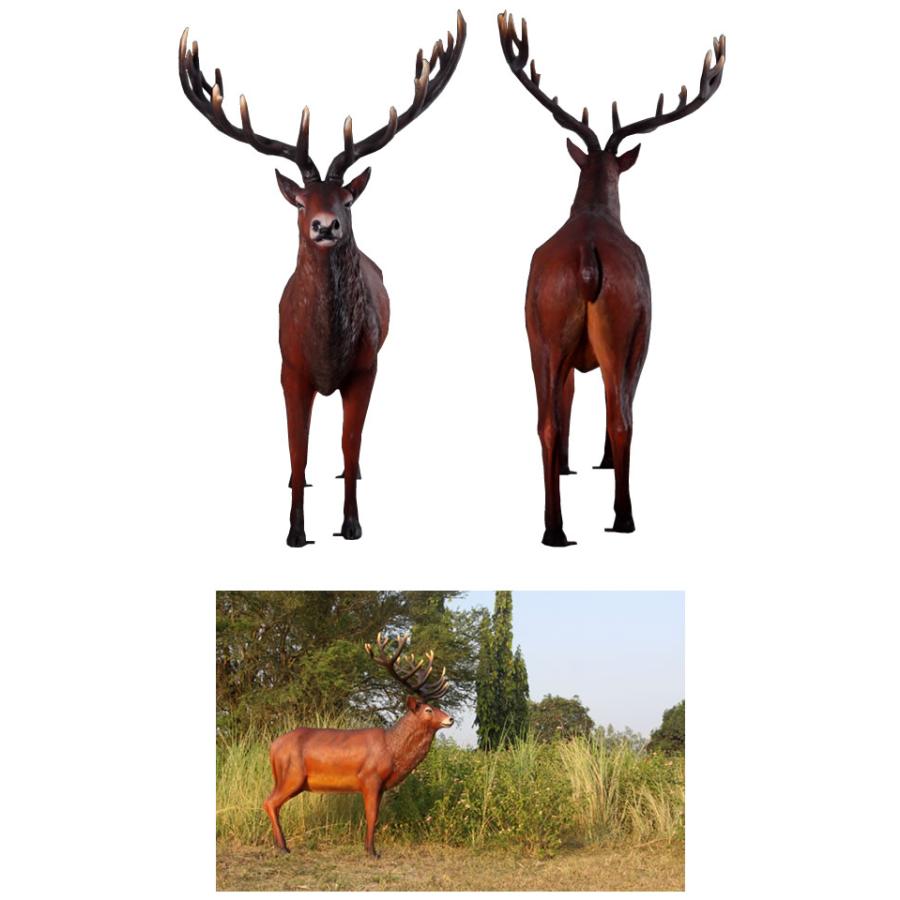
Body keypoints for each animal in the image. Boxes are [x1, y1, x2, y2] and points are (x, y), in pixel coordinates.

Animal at [177, 13, 466, 547]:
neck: (328, 351)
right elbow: (297, 449)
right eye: (300, 201)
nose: (326, 226)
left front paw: (351, 524)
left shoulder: (367, 367)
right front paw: (295, 529)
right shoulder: (289, 367)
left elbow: (350, 447)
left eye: (347, 199)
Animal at [263, 633, 453, 858]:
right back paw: (283, 847)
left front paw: (368, 848)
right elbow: (371, 815)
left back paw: (279, 845)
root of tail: (273, 747)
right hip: (293, 774)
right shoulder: (370, 777)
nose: (450, 719)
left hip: (285, 776)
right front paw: (372, 851)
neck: (392, 750)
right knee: (270, 802)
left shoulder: (381, 785)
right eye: (428, 710)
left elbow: (375, 815)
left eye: (436, 706)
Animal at [497, 13, 726, 546]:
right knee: (624, 418)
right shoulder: (643, 337)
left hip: (541, 331)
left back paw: (554, 528)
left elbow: (567, 404)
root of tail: (586, 255)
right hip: (623, 327)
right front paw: (597, 463)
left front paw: (567, 467)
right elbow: (614, 405)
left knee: (546, 422)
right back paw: (623, 518)